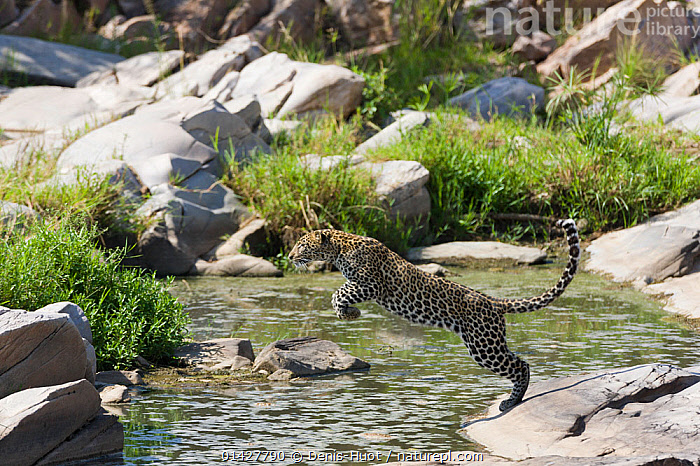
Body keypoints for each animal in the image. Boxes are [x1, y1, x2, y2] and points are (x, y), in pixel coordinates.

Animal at [288, 219, 584, 412]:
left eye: (301, 246)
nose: (290, 256)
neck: (339, 249)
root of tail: (494, 301)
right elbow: (339, 293)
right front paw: (350, 313)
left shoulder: (372, 284)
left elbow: (338, 294)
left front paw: (351, 312)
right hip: (486, 343)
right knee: (519, 362)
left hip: (484, 345)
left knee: (521, 365)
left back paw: (511, 401)